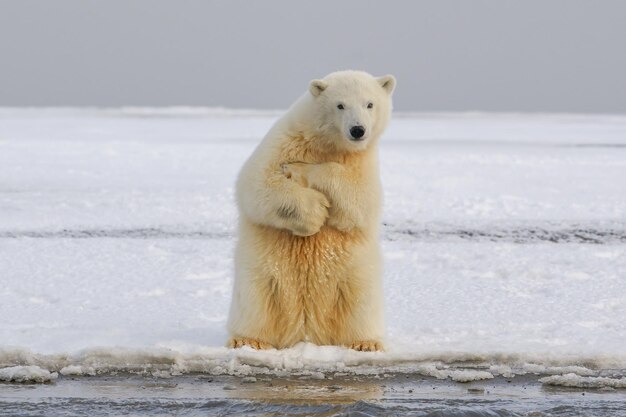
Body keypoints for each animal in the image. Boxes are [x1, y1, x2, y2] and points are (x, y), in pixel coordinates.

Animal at [228, 70, 394, 350]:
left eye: (370, 104)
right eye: (340, 105)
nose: (357, 130)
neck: (326, 143)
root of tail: (305, 332)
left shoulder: (363, 162)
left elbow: (359, 200)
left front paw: (301, 169)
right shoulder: (283, 142)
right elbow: (257, 183)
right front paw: (315, 212)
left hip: (355, 276)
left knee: (360, 302)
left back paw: (365, 343)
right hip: (261, 274)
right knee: (255, 301)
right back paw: (248, 340)